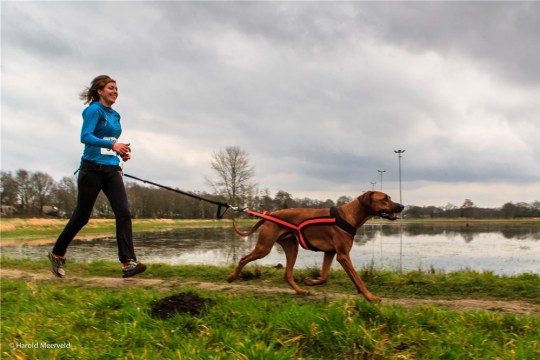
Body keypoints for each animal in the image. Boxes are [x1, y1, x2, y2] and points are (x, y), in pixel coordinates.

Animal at [227, 190, 400, 302]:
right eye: (385, 199)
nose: (402, 206)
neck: (349, 216)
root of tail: (268, 216)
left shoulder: (330, 252)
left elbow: (324, 276)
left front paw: (311, 281)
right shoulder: (343, 255)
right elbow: (358, 279)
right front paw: (370, 297)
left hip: (292, 246)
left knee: (287, 274)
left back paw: (300, 290)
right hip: (264, 247)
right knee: (243, 259)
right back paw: (232, 277)